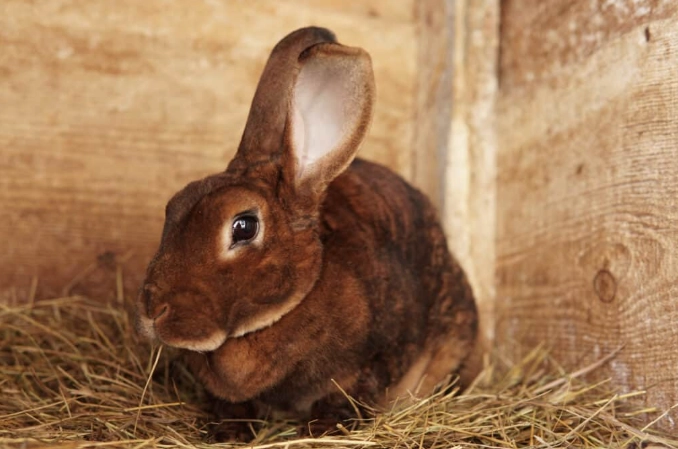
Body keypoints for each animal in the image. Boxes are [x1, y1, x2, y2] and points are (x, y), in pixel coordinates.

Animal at [136, 26, 477, 440]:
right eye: (172, 206)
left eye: (244, 226)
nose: (153, 311)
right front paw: (229, 432)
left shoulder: (373, 360)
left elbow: (346, 396)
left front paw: (322, 429)